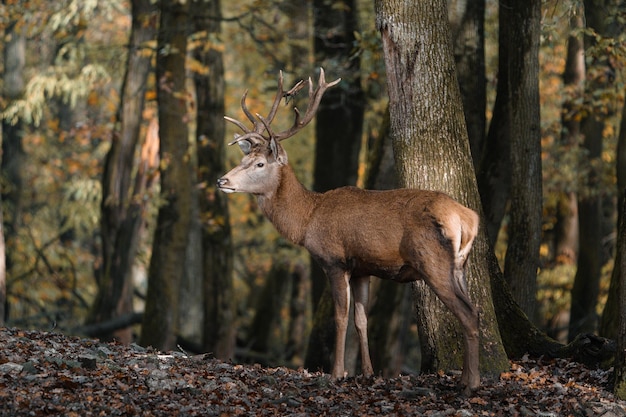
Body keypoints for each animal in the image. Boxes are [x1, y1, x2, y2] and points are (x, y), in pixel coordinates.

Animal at [217, 68, 480, 394]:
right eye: (243, 159)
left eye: (260, 163)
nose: (222, 180)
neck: (308, 219)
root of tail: (467, 219)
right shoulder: (362, 269)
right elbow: (361, 319)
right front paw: (367, 373)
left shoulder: (335, 260)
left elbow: (340, 317)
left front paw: (337, 373)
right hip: (460, 266)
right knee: (475, 309)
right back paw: (468, 377)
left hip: (433, 261)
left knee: (469, 314)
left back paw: (471, 382)